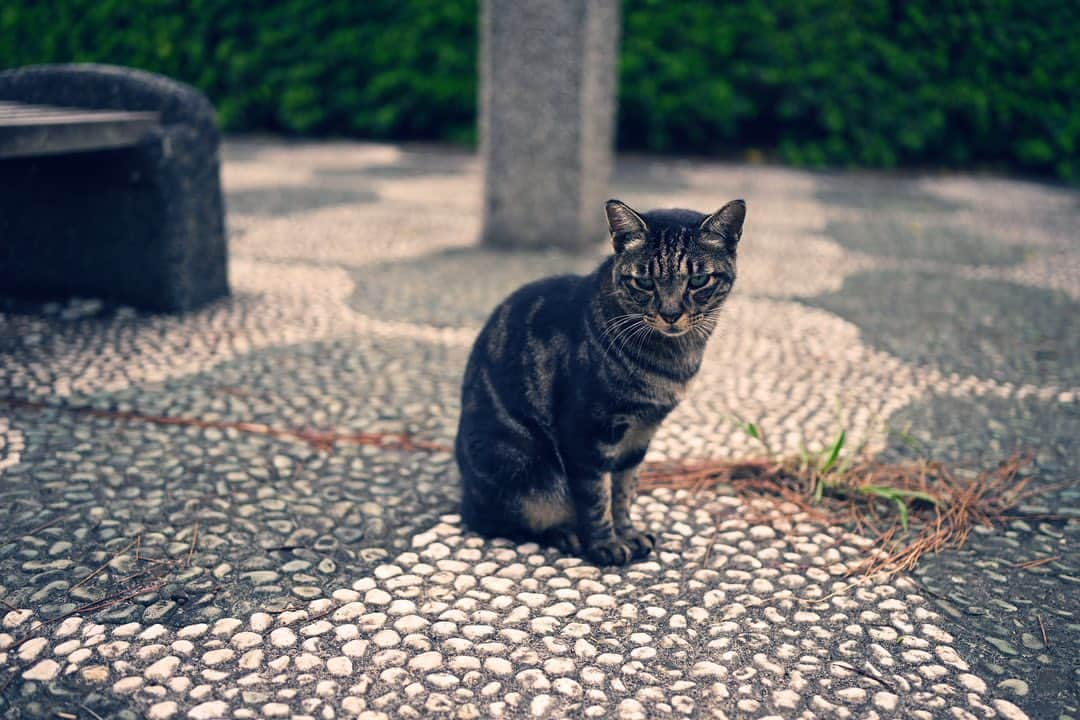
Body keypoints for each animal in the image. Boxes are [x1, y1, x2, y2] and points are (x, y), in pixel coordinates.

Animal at [453, 199, 743, 565]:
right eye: (644, 282)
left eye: (699, 279)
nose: (670, 313)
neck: (672, 359)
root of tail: (465, 494)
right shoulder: (587, 432)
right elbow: (595, 496)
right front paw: (606, 544)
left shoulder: (639, 436)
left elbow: (622, 491)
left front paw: (628, 533)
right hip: (525, 476)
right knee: (497, 522)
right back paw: (564, 533)